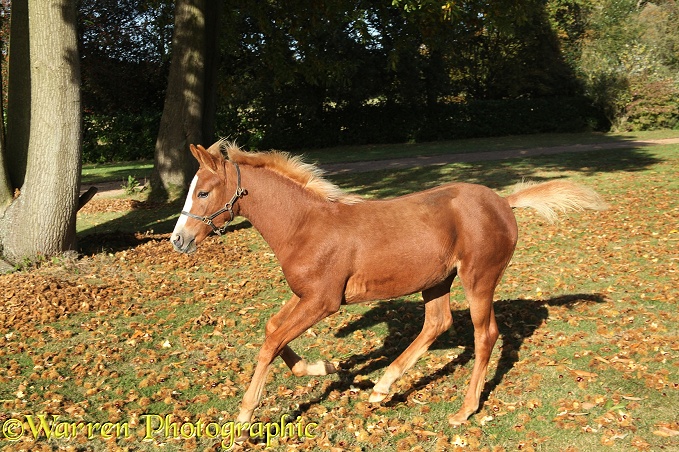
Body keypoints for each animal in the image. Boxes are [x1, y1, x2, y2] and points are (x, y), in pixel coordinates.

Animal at [173, 140, 608, 428]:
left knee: (485, 334)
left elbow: (272, 340)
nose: (179, 240)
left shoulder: (323, 301)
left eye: (204, 191)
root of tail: (504, 202)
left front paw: (245, 415)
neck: (305, 227)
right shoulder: (305, 296)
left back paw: (464, 409)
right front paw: (321, 366)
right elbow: (273, 331)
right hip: (437, 280)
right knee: (438, 323)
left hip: (479, 278)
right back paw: (383, 387)